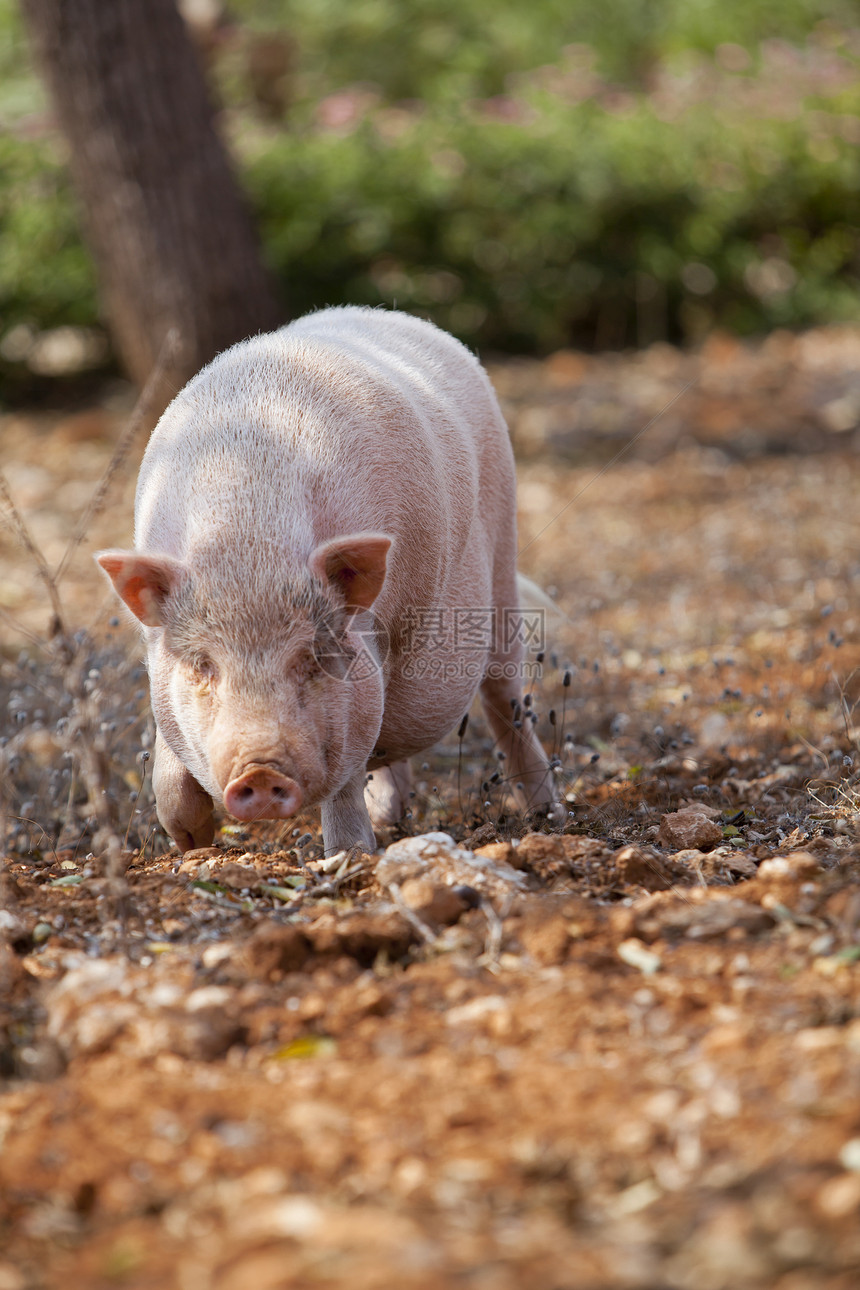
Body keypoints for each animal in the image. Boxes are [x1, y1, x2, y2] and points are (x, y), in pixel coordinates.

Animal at [97, 308, 559, 856]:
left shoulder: (359, 679)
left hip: (504, 569)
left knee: (506, 703)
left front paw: (349, 854)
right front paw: (193, 843)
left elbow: (344, 778)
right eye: (201, 665)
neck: (248, 535)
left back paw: (549, 817)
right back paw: (390, 817)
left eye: (312, 659)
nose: (259, 772)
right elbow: (169, 767)